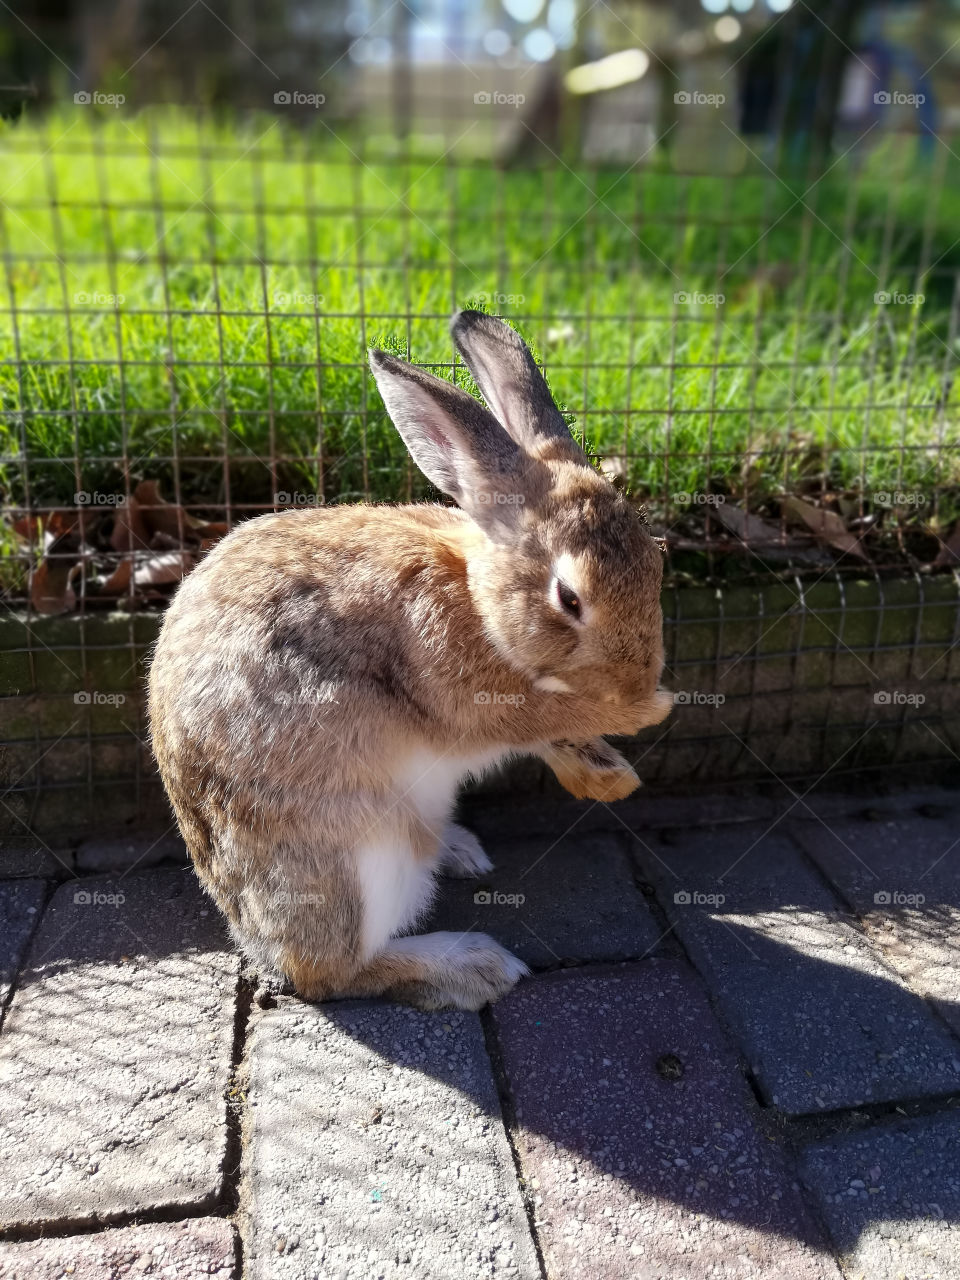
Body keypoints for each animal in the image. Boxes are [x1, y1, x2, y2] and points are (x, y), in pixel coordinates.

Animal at [148, 310, 672, 1010]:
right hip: (359, 857)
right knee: (332, 973)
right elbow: (543, 717)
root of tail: (248, 931)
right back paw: (473, 965)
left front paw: (607, 774)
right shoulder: (471, 702)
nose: (638, 684)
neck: (476, 596)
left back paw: (462, 853)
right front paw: (642, 716)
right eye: (569, 597)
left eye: (657, 560)